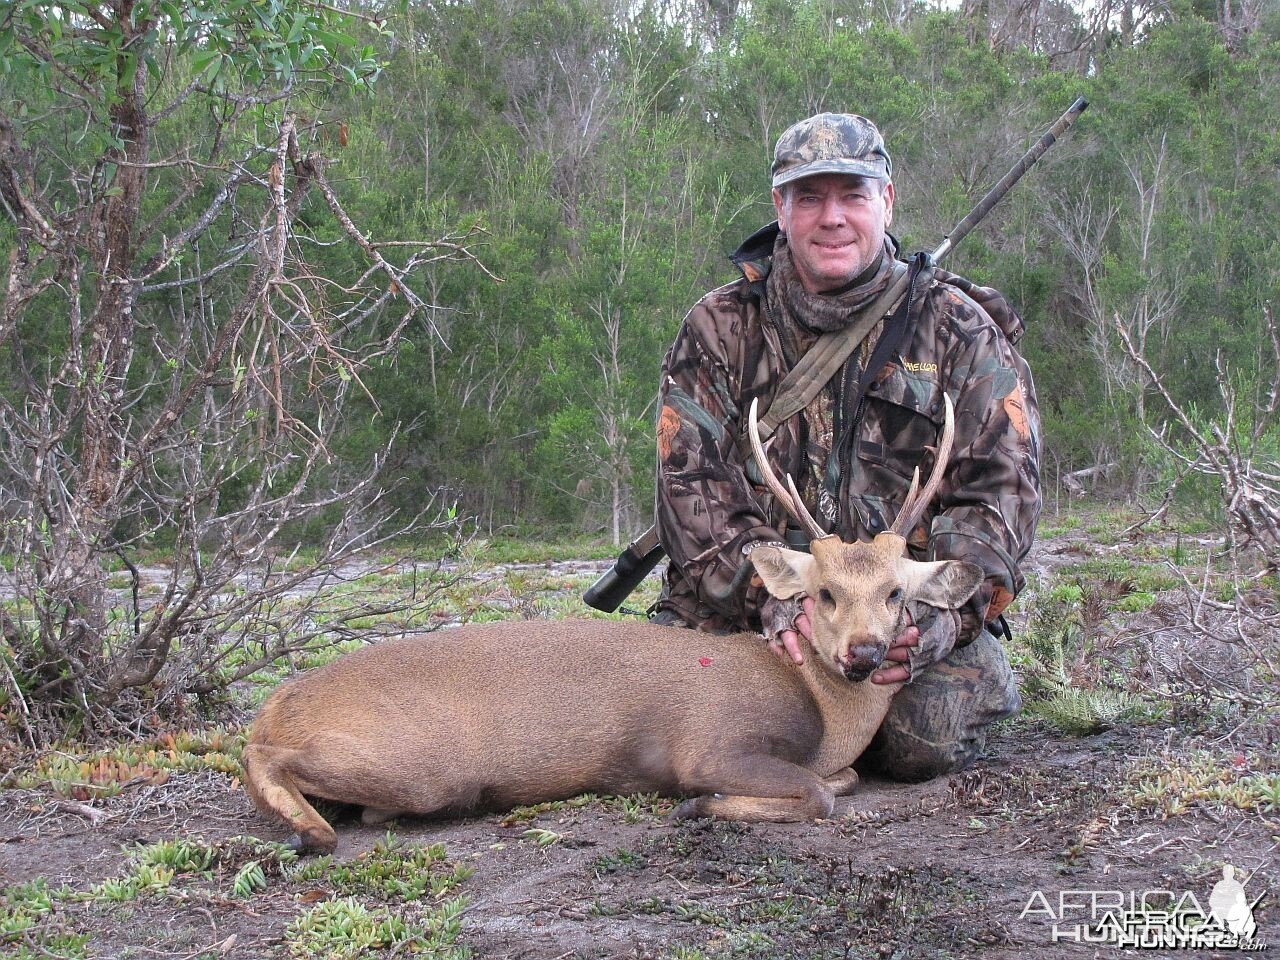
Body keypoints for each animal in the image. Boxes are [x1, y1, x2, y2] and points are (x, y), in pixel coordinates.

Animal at [241, 394, 977, 855]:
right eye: (823, 593)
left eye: (895, 593)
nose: (864, 652)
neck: (819, 711)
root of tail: (275, 704)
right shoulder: (711, 744)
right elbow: (819, 793)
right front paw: (696, 806)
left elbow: (840, 782)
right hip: (422, 765)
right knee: (267, 761)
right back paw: (311, 833)